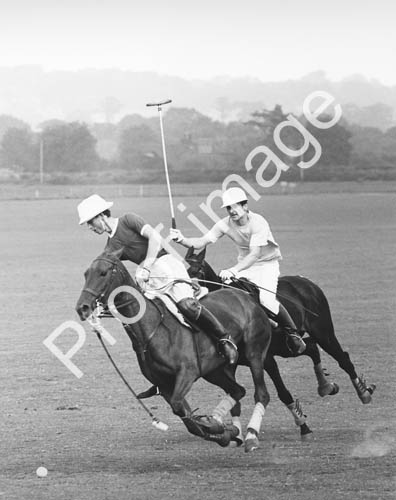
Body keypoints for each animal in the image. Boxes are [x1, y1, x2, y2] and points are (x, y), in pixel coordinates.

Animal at [75, 252, 272, 452]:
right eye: (85, 274)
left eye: (103, 273)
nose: (82, 307)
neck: (152, 329)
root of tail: (246, 296)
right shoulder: (165, 385)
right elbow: (188, 420)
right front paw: (222, 432)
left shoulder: (187, 373)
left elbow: (181, 408)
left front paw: (216, 426)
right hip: (214, 371)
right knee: (238, 391)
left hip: (255, 353)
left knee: (261, 394)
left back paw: (251, 436)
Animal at [186, 248, 378, 436]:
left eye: (197, 271)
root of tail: (306, 281)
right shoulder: (229, 365)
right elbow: (235, 397)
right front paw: (234, 433)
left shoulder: (266, 359)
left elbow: (283, 393)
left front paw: (303, 426)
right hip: (287, 347)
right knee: (311, 347)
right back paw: (326, 386)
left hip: (323, 333)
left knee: (342, 358)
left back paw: (363, 392)